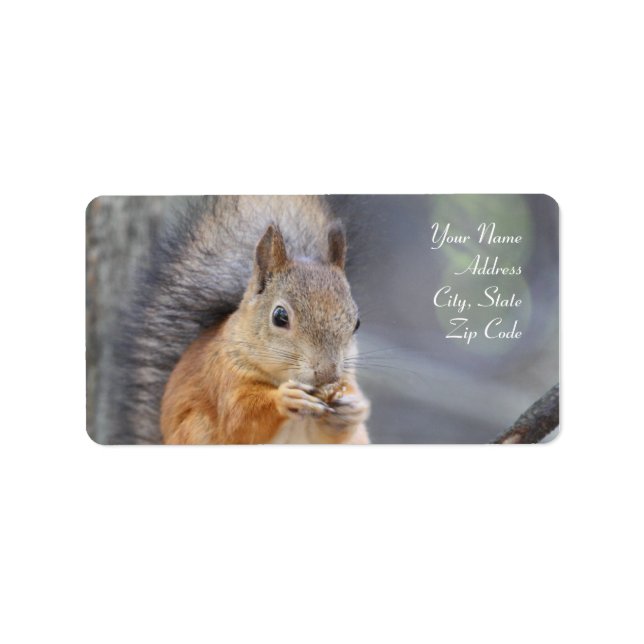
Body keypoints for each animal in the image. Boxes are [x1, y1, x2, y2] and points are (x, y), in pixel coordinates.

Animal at [110, 196, 370, 444]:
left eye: (356, 323)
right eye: (280, 317)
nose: (328, 374)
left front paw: (351, 408)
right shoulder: (223, 376)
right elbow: (239, 420)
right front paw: (285, 398)